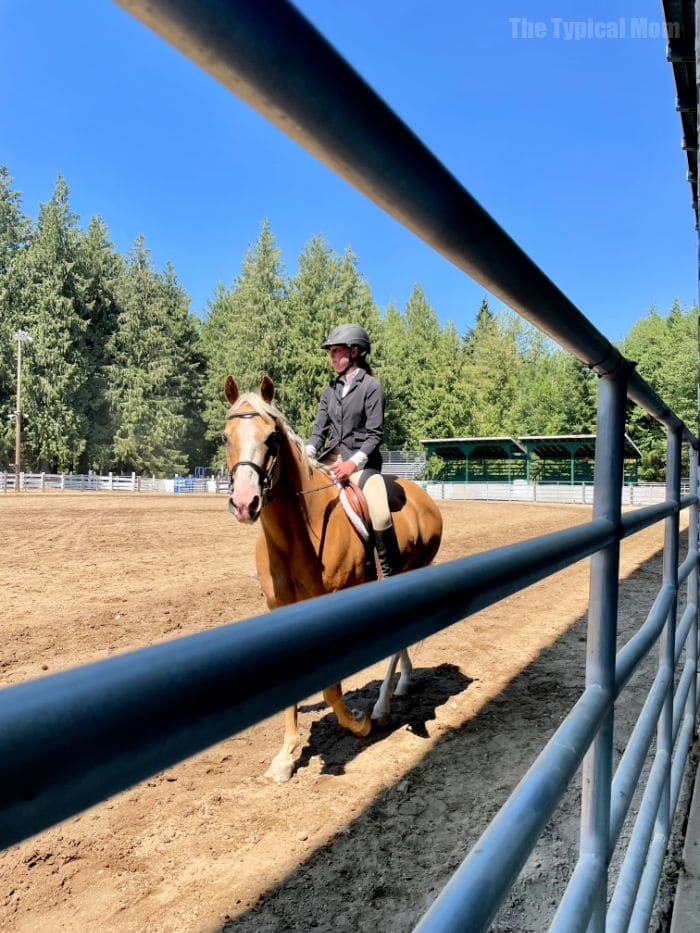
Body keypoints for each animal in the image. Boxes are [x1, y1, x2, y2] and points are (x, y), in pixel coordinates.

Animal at [223, 374, 442, 784]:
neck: (297, 534)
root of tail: (424, 499)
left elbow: (331, 689)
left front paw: (357, 723)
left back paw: (381, 709)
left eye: (271, 437)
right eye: (225, 436)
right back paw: (402, 687)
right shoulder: (280, 609)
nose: (245, 503)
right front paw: (285, 757)